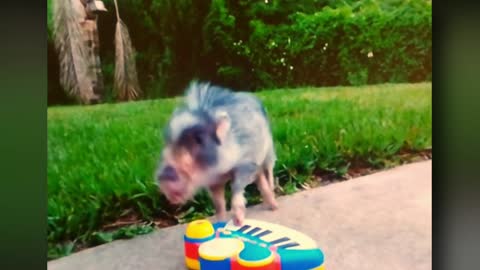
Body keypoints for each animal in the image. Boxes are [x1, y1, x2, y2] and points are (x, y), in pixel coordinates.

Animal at [156, 81, 278, 225]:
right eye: (167, 142)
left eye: (199, 140)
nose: (164, 176)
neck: (220, 171)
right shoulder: (213, 182)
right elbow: (218, 204)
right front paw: (219, 223)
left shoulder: (246, 163)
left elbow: (237, 188)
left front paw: (238, 221)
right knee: (260, 179)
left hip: (269, 152)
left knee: (267, 173)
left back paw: (275, 206)